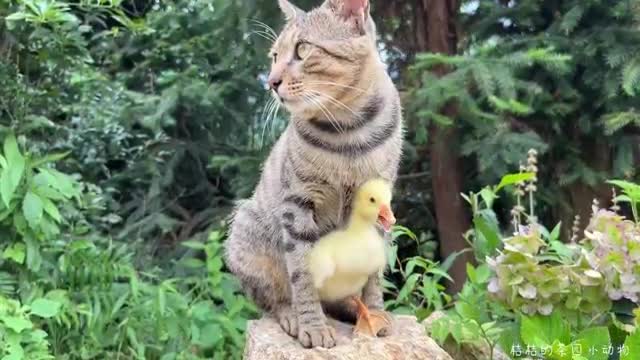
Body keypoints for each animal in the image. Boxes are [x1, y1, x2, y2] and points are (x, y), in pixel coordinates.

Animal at [225, 0, 402, 348]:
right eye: (274, 56)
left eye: (303, 49)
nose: (270, 82)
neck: (349, 130)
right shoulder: (298, 205)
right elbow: (303, 273)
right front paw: (314, 327)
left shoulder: (380, 201)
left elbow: (374, 274)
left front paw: (375, 314)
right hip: (246, 229)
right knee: (273, 300)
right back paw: (293, 315)